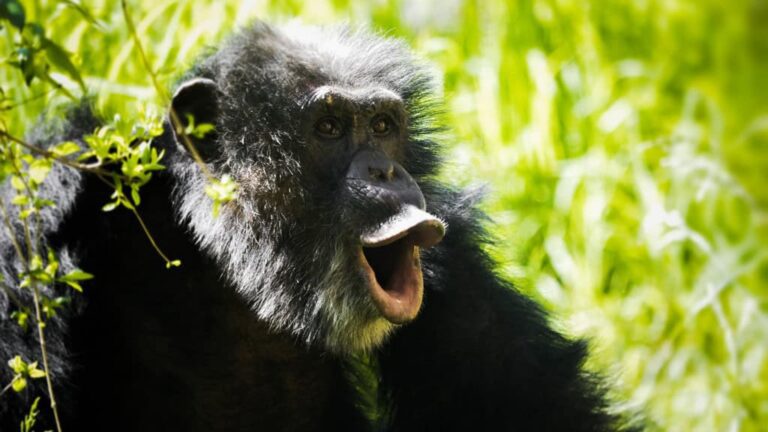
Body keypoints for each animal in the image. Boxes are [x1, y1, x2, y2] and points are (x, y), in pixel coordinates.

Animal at [0, 22, 638, 431]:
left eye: (382, 125)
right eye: (329, 128)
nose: (384, 170)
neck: (220, 266)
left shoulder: (456, 264)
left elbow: (525, 403)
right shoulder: (32, 232)